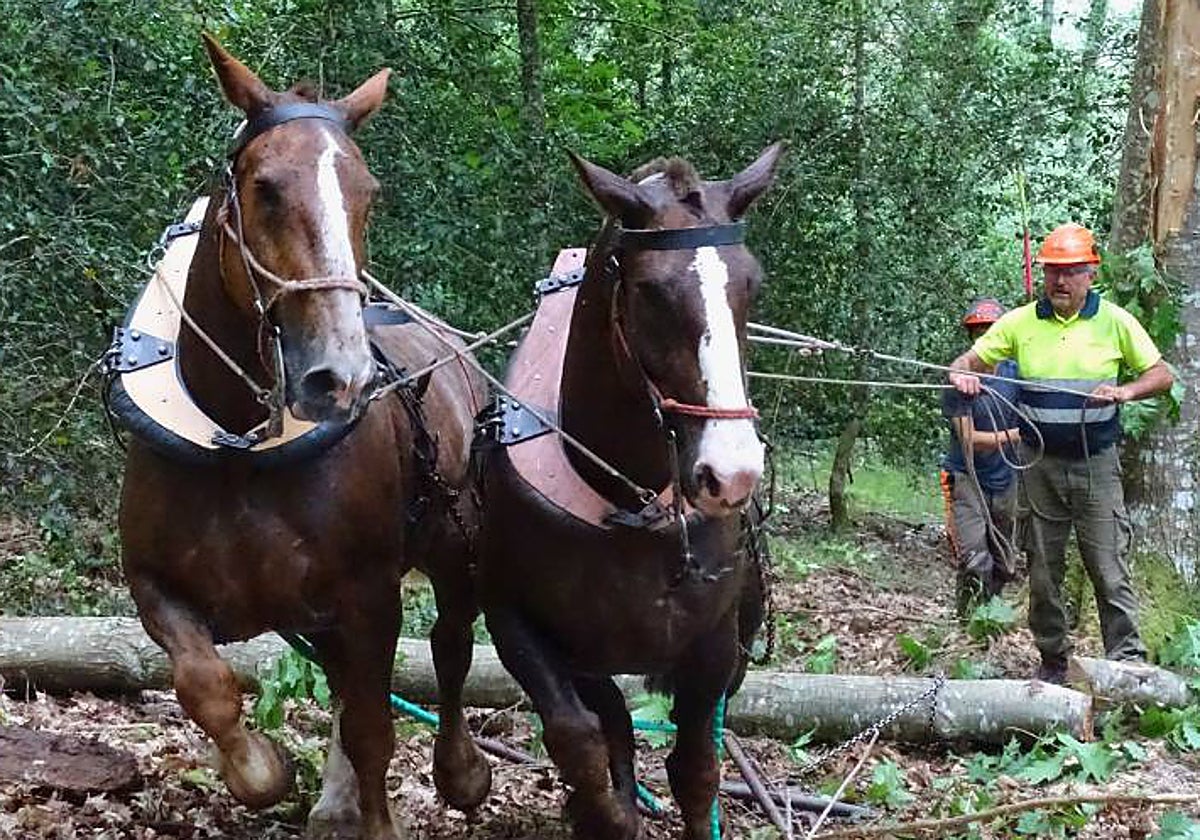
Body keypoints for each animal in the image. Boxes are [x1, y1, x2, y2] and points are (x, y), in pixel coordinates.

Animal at [115, 35, 490, 840]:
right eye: (264, 188)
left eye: (367, 192)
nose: (337, 376)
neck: (236, 445)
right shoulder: (156, 588)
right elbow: (206, 686)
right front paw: (264, 771)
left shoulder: (370, 593)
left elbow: (376, 725)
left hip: (456, 546)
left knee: (449, 647)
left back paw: (459, 770)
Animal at [470, 143, 784, 840]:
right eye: (650, 291)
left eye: (751, 284)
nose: (731, 472)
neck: (624, 496)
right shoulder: (517, 623)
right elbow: (578, 739)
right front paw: (604, 810)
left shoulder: (713, 640)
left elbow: (695, 767)